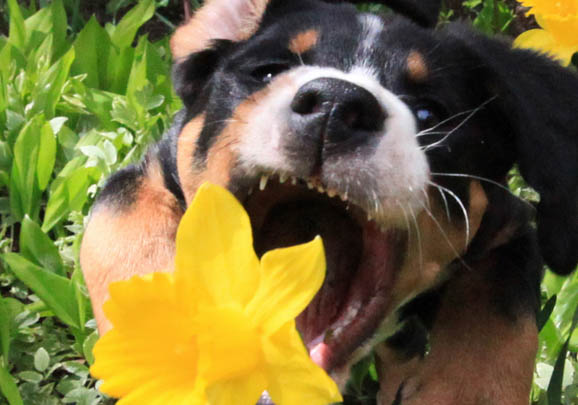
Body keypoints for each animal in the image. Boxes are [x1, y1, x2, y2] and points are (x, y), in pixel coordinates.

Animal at [81, 1, 576, 402]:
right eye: (267, 72)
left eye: (429, 112)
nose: (335, 105)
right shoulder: (152, 171)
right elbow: (120, 223)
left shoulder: (508, 226)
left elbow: (499, 321)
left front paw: (462, 392)